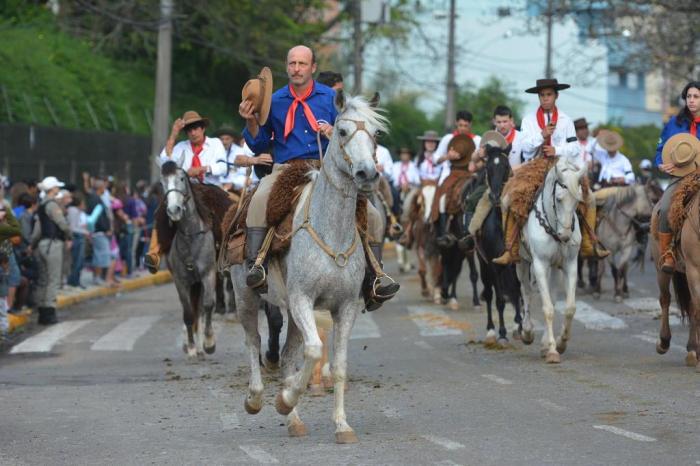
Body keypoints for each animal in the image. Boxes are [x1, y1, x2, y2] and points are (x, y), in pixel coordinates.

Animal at [161, 158, 219, 358]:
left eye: (181, 179)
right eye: (163, 182)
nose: (173, 210)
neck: (191, 235)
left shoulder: (208, 274)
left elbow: (208, 305)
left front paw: (209, 343)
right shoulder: (181, 280)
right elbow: (187, 313)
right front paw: (191, 347)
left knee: (201, 309)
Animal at [231, 92, 388, 444]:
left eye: (376, 133)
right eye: (342, 131)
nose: (367, 174)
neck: (331, 230)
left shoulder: (345, 306)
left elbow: (338, 364)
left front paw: (342, 425)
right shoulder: (302, 299)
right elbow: (315, 350)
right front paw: (284, 399)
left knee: (289, 356)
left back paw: (294, 421)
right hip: (246, 296)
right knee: (252, 341)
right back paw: (255, 399)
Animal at [516, 157, 588, 364]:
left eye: (577, 201)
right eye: (559, 199)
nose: (565, 236)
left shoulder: (570, 265)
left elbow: (569, 307)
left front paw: (560, 343)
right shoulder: (540, 265)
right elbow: (546, 308)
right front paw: (553, 351)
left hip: (555, 268)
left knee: (553, 296)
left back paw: (543, 343)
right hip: (522, 262)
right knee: (526, 291)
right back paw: (528, 332)